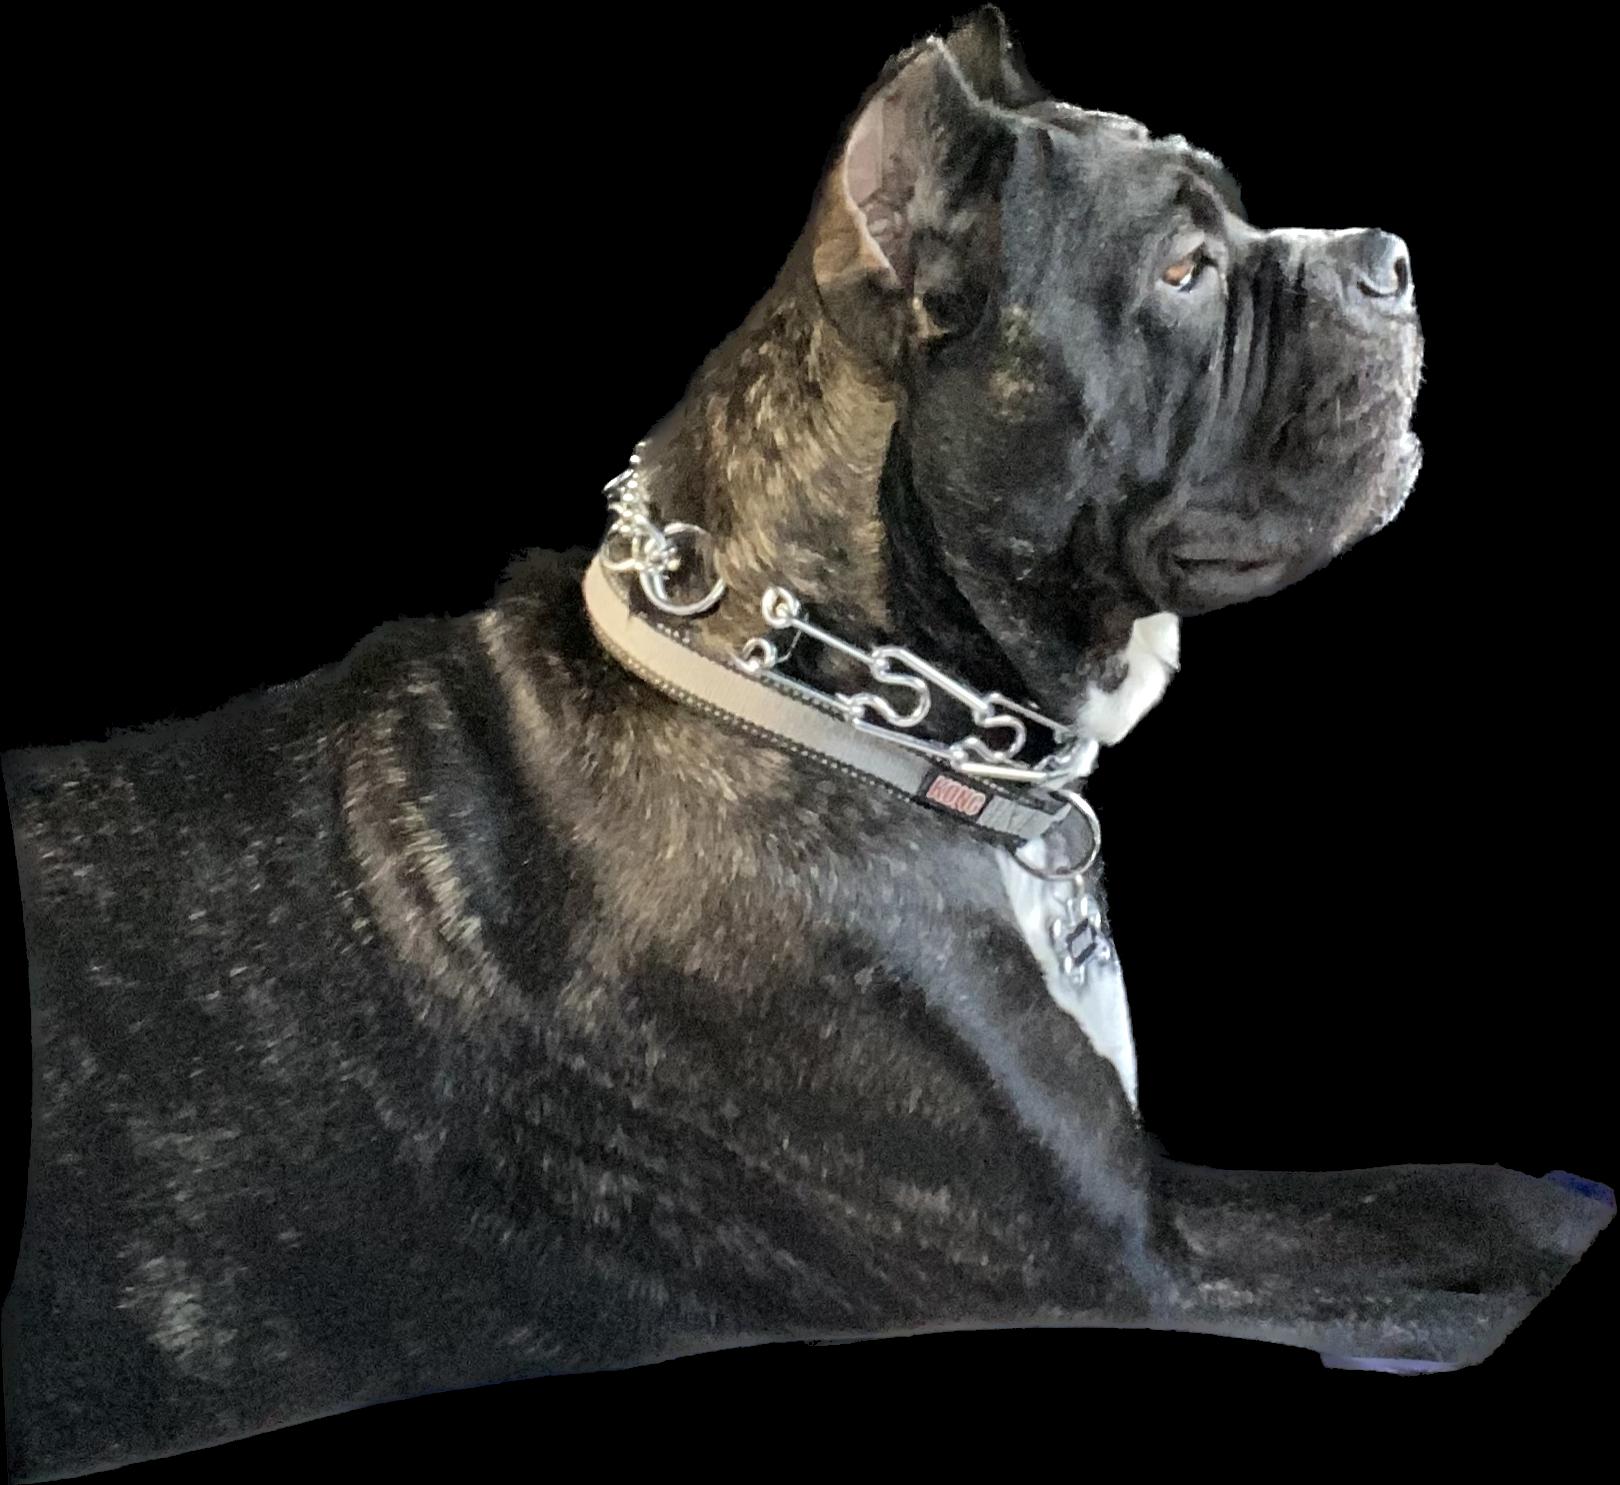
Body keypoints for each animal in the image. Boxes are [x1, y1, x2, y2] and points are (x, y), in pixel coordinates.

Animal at [4, 8, 1612, 1476]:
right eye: (1183, 270)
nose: (1388, 256)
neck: (834, 696)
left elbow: (1454, 1184)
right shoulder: (1127, 1253)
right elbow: (1439, 1263)